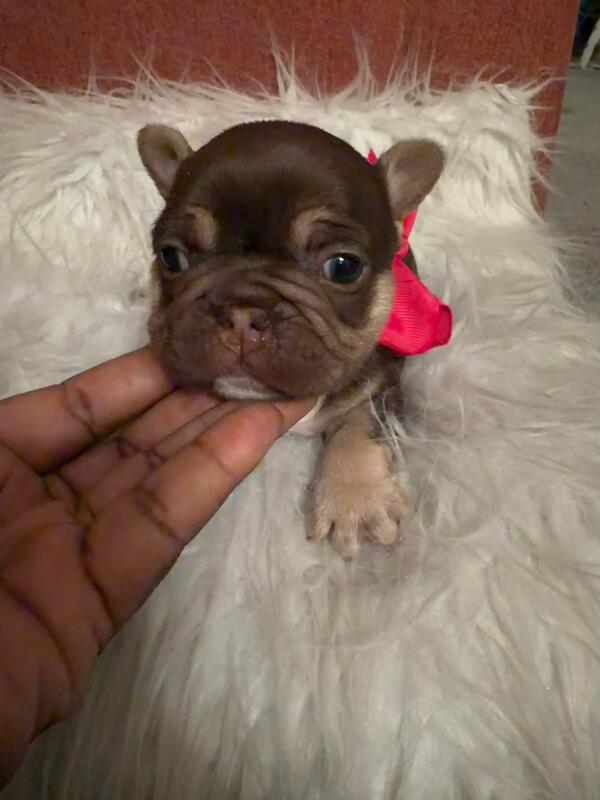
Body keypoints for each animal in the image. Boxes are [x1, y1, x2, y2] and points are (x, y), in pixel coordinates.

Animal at [137, 120, 444, 557]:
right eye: (171, 257)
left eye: (344, 267)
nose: (243, 309)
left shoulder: (381, 384)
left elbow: (358, 425)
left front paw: (355, 500)